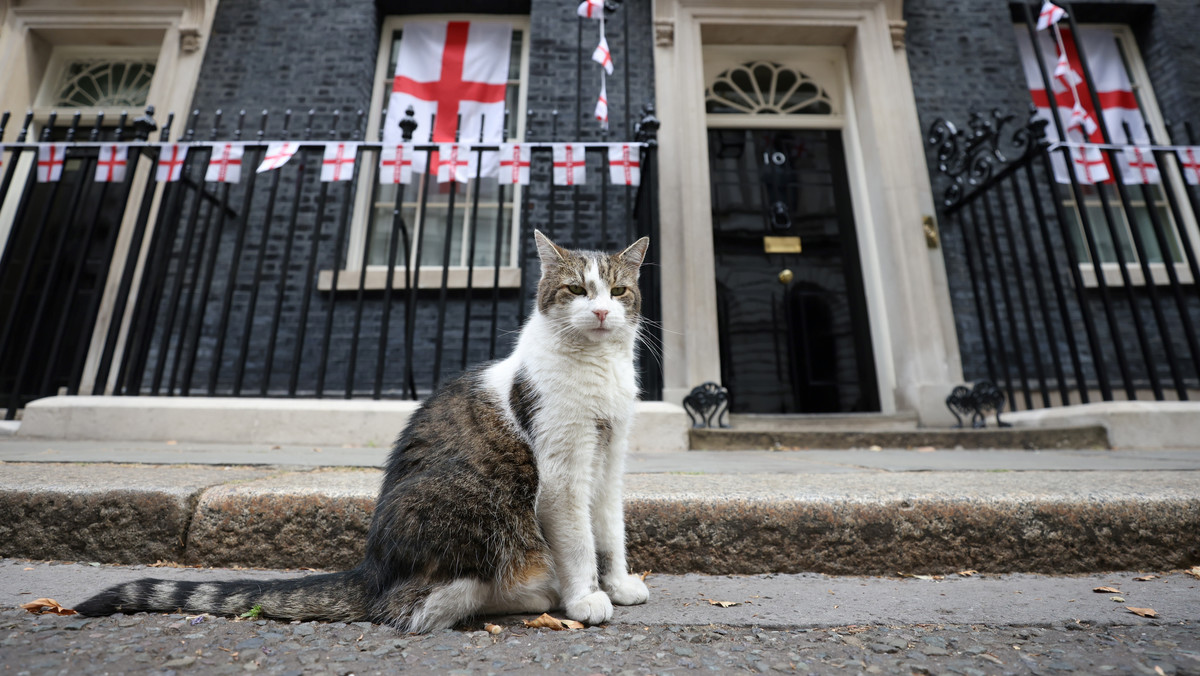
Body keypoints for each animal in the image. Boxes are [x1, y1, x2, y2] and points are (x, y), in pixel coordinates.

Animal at [72, 230, 657, 633]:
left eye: (619, 290)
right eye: (577, 289)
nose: (601, 311)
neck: (599, 369)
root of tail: (372, 566)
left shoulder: (610, 456)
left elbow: (609, 528)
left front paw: (618, 584)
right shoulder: (561, 467)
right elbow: (578, 539)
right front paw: (585, 597)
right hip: (475, 503)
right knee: (410, 606)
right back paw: (537, 594)